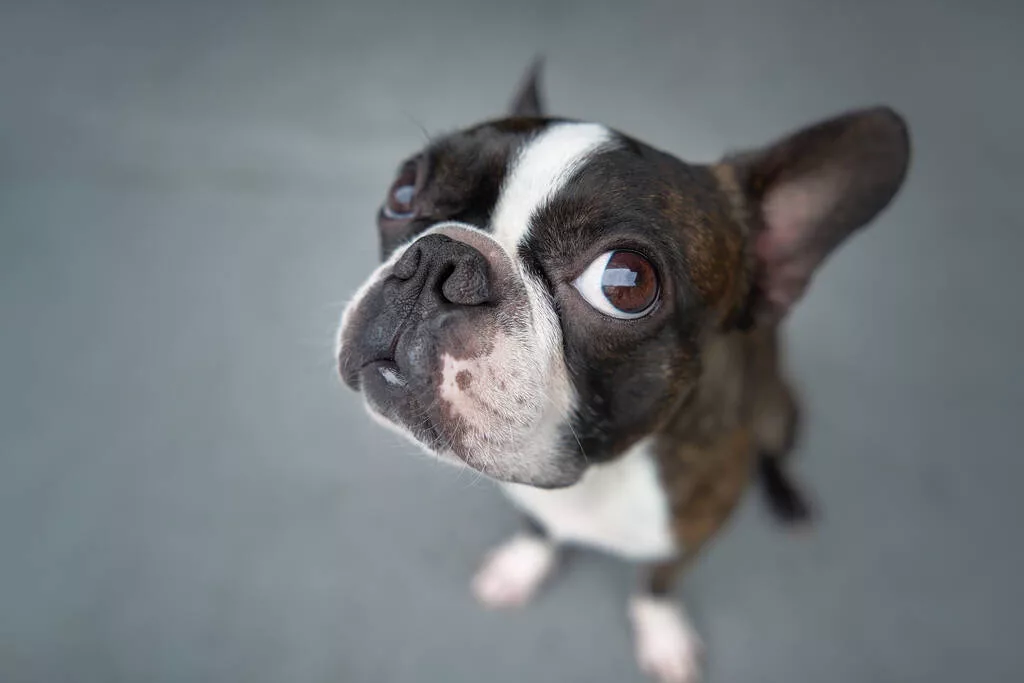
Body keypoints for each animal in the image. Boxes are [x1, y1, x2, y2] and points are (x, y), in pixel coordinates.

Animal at [335, 61, 913, 679]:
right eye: (402, 193)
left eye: (625, 283)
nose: (439, 258)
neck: (599, 473)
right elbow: (538, 527)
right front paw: (523, 564)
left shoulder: (690, 533)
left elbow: (657, 581)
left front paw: (662, 632)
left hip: (782, 407)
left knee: (776, 450)